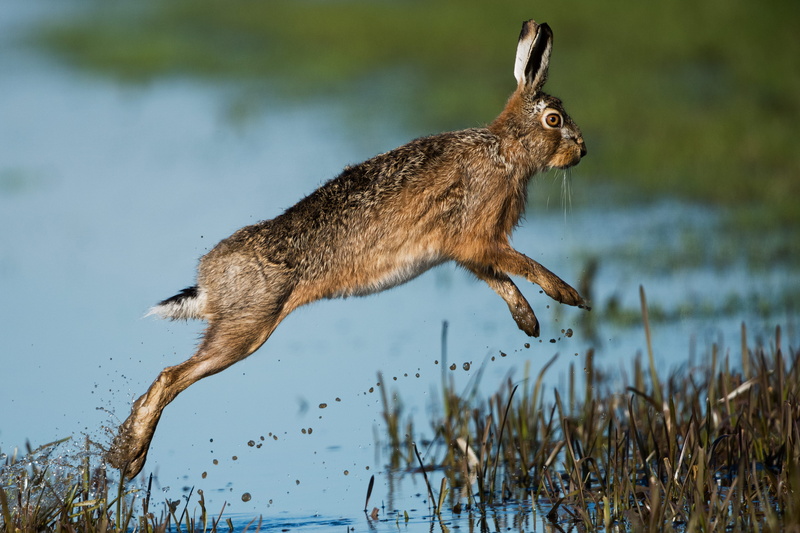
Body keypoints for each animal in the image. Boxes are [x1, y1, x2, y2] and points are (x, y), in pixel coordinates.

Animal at [107, 18, 588, 479]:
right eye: (553, 120)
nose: (583, 150)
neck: (506, 151)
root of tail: (207, 278)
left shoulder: (467, 251)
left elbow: (501, 280)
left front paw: (529, 324)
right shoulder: (478, 236)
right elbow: (522, 264)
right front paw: (569, 295)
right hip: (247, 327)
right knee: (169, 377)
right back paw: (128, 458)